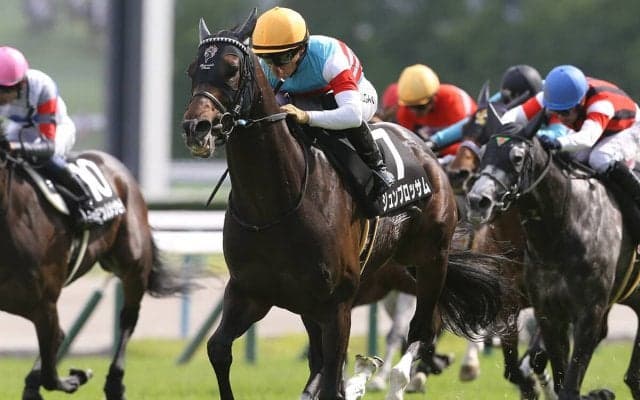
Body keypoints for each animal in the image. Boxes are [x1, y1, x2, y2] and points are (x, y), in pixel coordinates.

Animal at [0, 145, 187, 400]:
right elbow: (53, 349)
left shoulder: (44, 302)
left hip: (133, 266)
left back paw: (114, 385)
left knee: (127, 319)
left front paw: (76, 377)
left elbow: (51, 373)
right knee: (60, 336)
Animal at [181, 10, 512, 400]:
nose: (197, 127)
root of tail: (426, 151)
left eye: (231, 68)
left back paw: (400, 378)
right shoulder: (250, 291)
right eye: (192, 70)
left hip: (431, 258)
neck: (274, 205)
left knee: (423, 329)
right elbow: (219, 349)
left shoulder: (337, 302)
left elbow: (330, 377)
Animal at [466, 106, 640, 400]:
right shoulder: (547, 313)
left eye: (517, 157)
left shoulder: (589, 314)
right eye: (484, 154)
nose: (478, 201)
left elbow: (567, 385)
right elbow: (548, 376)